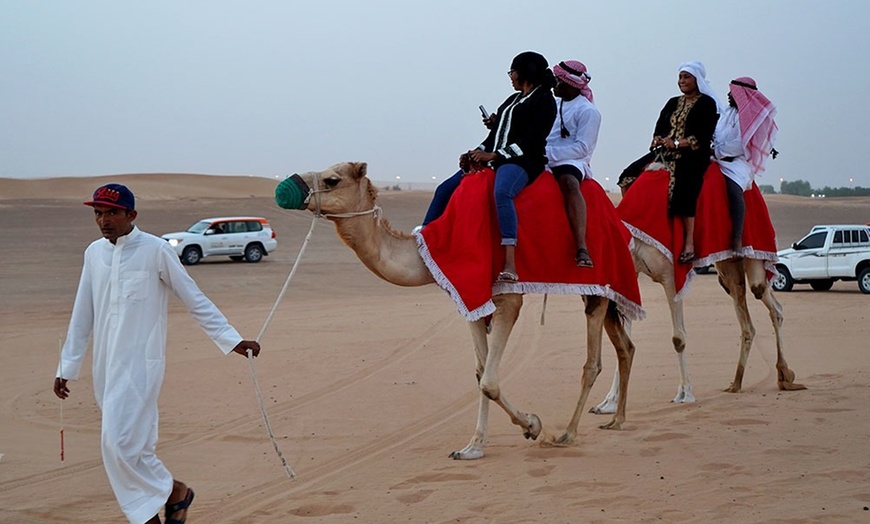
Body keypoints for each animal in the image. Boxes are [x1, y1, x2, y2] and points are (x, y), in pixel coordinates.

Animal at [286, 162, 640, 460]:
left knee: (592, 362)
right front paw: (473, 447)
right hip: (596, 291)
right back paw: (617, 419)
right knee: (625, 346)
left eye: (332, 179)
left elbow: (490, 382)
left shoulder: (507, 298)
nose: (291, 185)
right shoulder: (471, 304)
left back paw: (567, 433)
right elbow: (481, 373)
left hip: (601, 280)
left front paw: (532, 425)